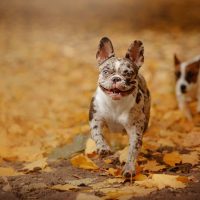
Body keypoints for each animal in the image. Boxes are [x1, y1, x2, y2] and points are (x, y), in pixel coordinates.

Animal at [88, 37, 151, 177]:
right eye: (106, 72)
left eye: (128, 74)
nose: (116, 78)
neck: (115, 103)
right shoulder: (96, 118)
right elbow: (97, 134)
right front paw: (103, 147)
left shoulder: (135, 129)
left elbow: (132, 150)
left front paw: (129, 168)